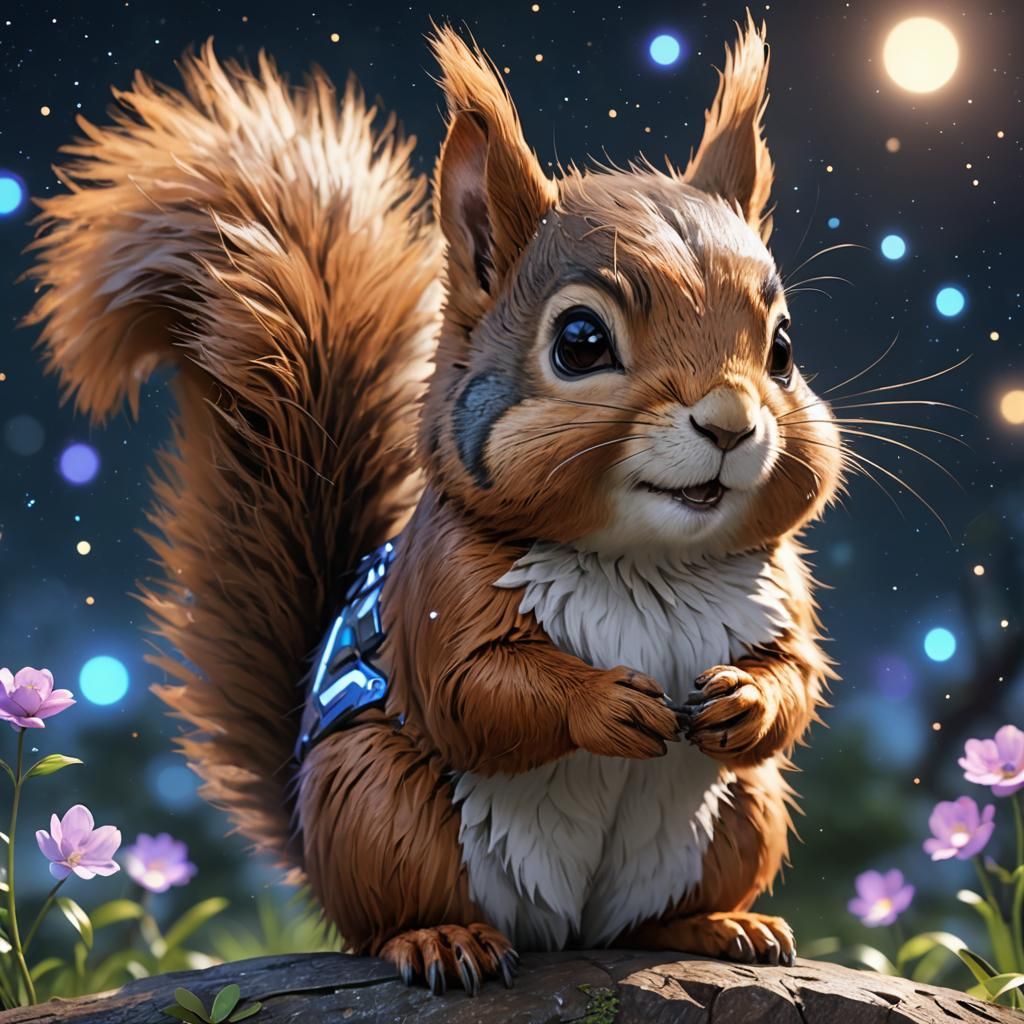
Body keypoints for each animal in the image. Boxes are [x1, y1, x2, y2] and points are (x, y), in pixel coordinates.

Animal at [26, 14, 842, 995]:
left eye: (783, 348)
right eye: (579, 341)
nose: (729, 422)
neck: (647, 562)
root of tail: (567, 930)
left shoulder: (779, 591)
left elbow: (796, 675)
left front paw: (745, 701)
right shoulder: (441, 592)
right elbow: (476, 692)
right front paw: (606, 703)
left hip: (742, 815)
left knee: (660, 914)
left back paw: (722, 925)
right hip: (378, 800)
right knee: (387, 913)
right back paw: (441, 940)